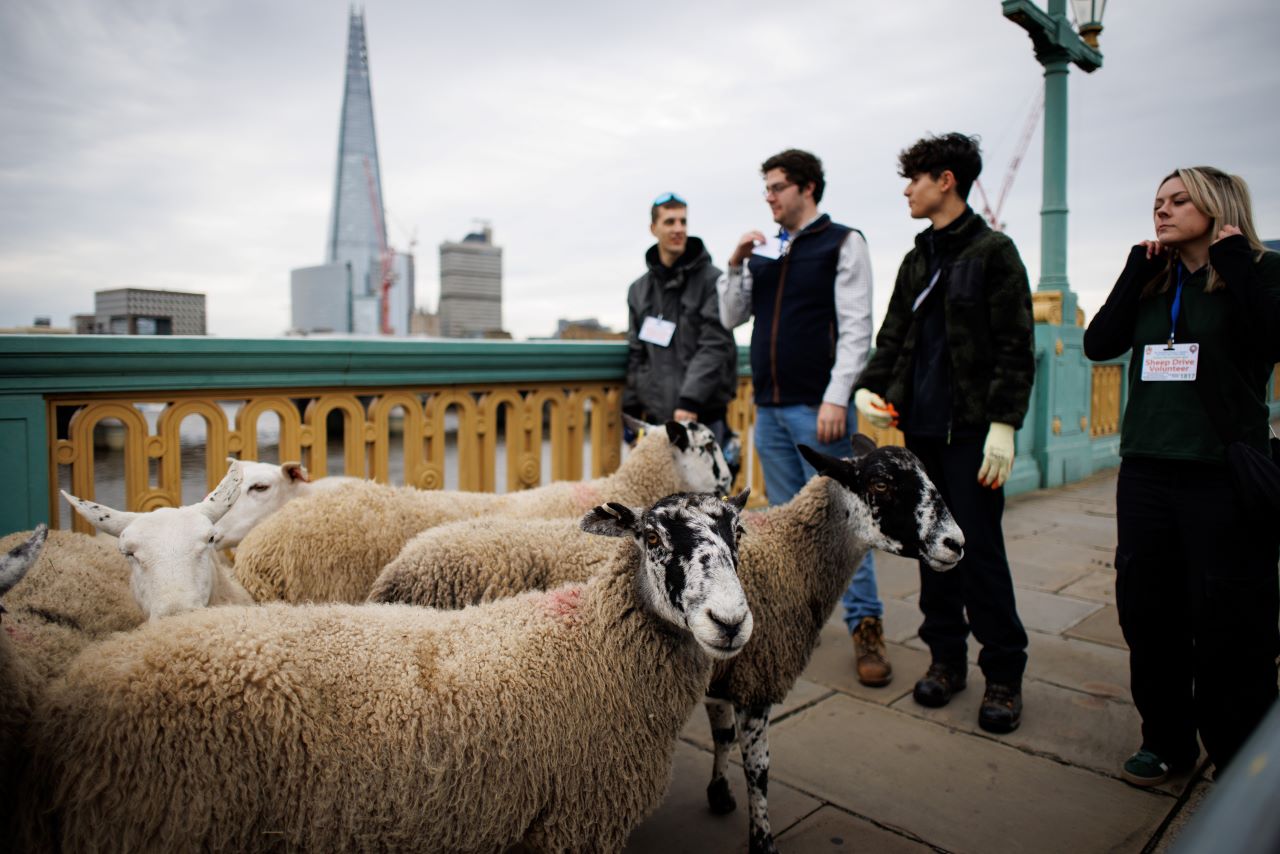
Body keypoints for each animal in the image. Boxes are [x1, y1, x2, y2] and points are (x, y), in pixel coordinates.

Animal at [20, 491, 752, 850]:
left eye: (738, 534)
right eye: (651, 538)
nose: (730, 622)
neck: (594, 645)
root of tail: (70, 696)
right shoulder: (574, 822)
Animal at [368, 437, 962, 850]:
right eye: (881, 485)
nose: (957, 543)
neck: (795, 555)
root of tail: (399, 569)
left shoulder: (724, 670)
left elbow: (721, 736)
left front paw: (719, 795)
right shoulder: (756, 681)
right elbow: (760, 771)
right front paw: (761, 838)